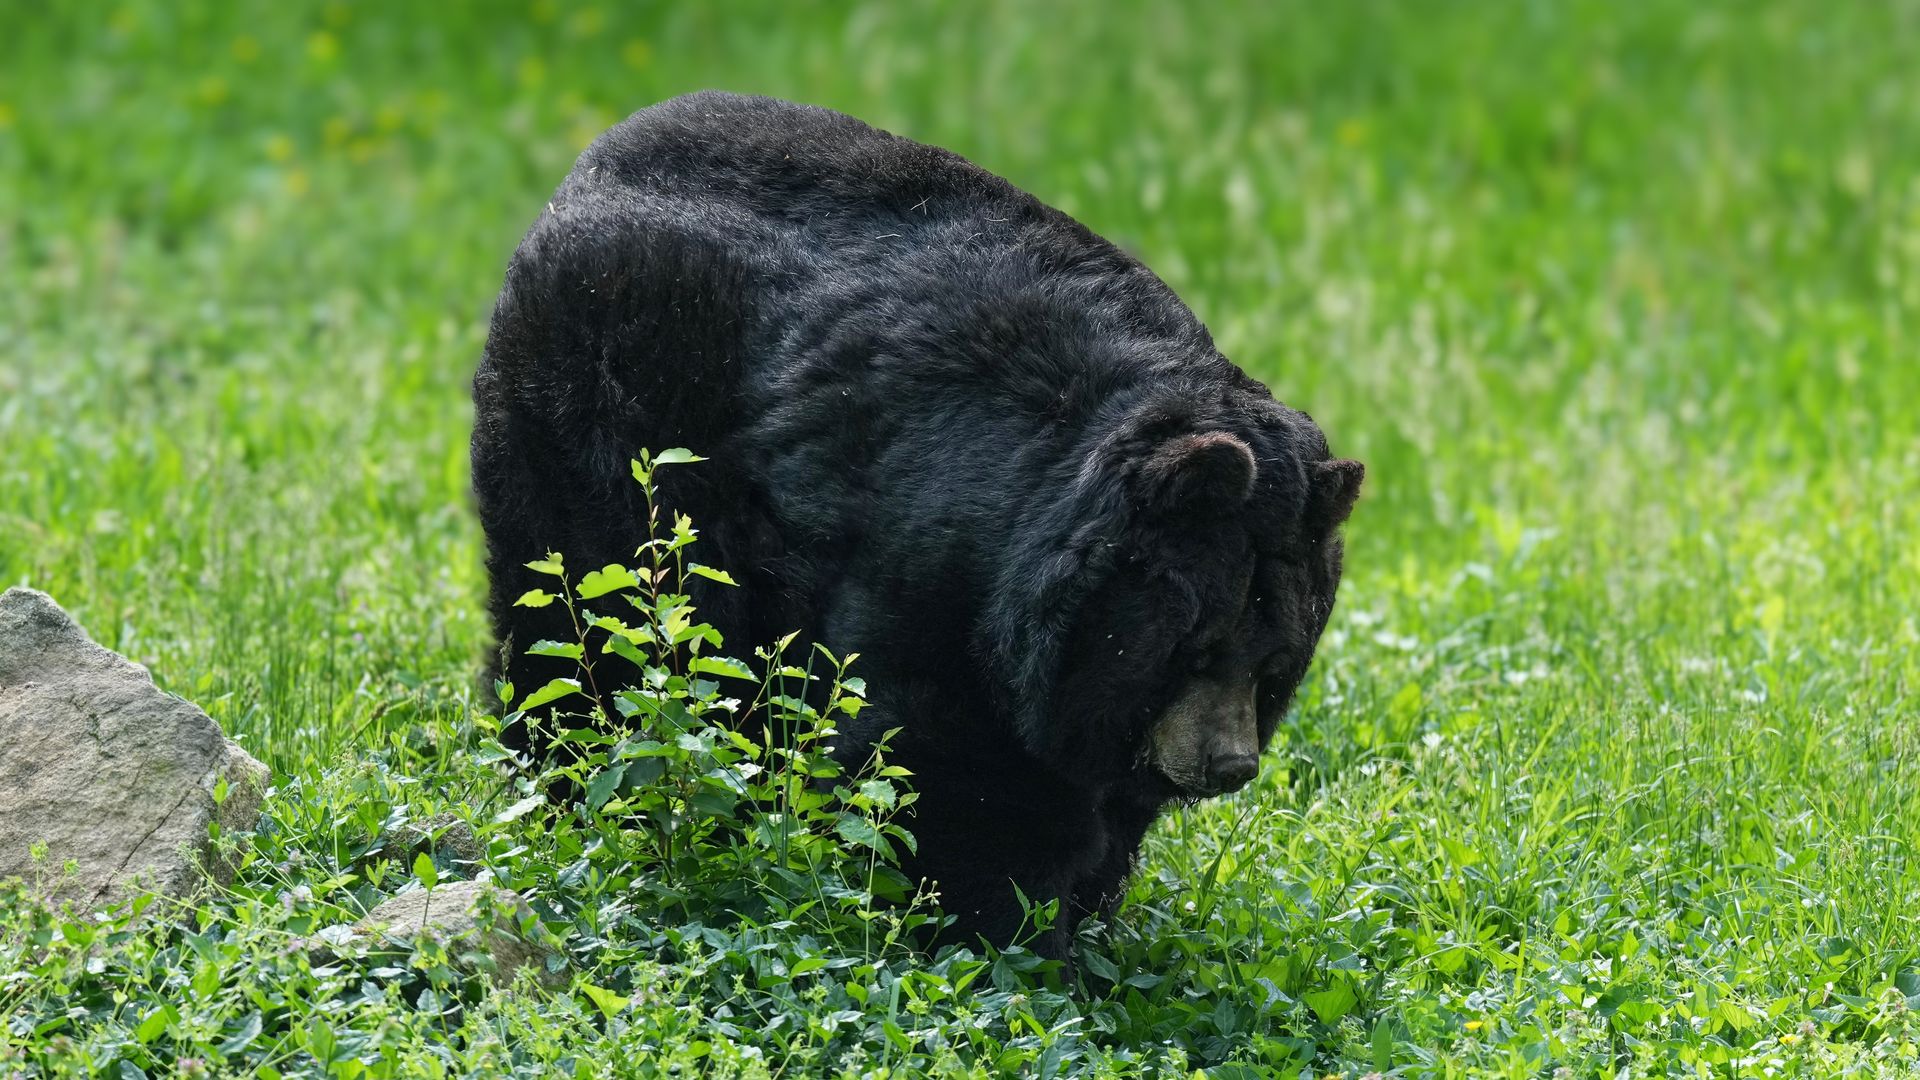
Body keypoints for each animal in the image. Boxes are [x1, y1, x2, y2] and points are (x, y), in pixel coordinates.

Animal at [471, 91, 1362, 957]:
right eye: (1193, 650)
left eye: (1274, 665)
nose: (1228, 764)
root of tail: (577, 176)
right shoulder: (935, 560)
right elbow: (944, 765)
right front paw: (1004, 937)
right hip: (601, 422)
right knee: (591, 626)